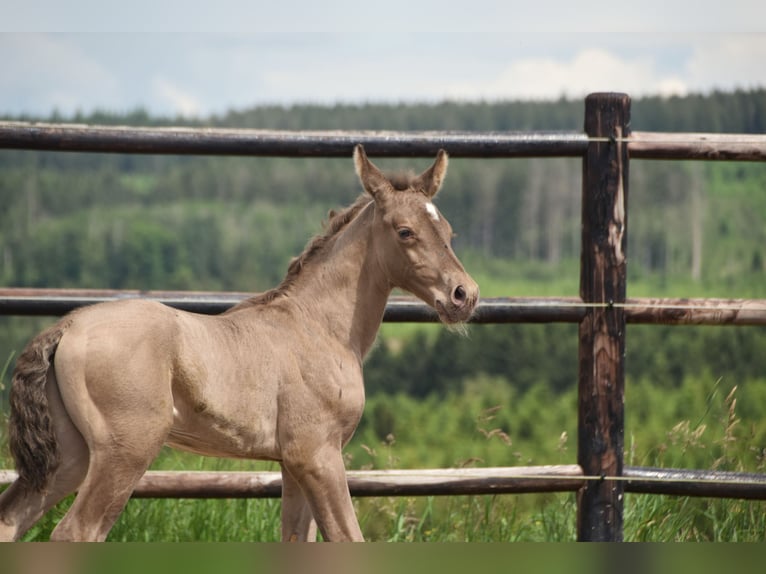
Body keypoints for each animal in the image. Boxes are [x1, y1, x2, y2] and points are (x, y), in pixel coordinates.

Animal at [0, 146, 480, 544]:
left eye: (449, 230)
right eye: (405, 232)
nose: (464, 295)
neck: (318, 327)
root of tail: (66, 327)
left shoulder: (293, 463)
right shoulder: (318, 455)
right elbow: (348, 538)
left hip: (71, 456)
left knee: (10, 521)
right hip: (124, 452)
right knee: (76, 532)